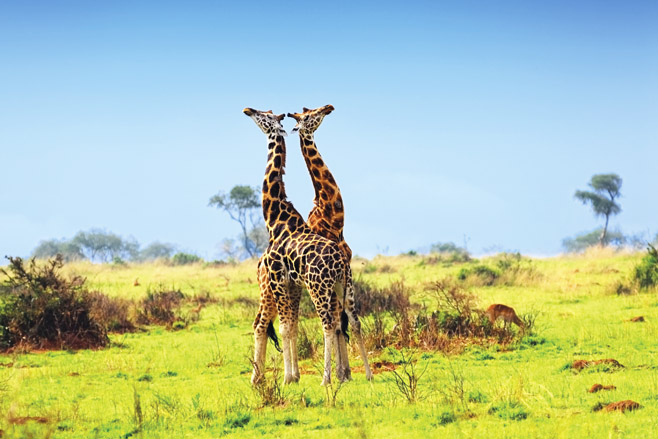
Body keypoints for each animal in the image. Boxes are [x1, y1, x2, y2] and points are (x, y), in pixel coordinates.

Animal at [244, 107, 350, 386]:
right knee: (260, 323)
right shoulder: (288, 283)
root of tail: (258, 263)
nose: (248, 110)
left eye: (265, 116)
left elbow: (290, 326)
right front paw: (293, 376)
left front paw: (292, 377)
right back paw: (257, 378)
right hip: (272, 289)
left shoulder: (286, 282)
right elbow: (290, 326)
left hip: (293, 287)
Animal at [288, 105, 372, 381]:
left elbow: (343, 320)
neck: (333, 218)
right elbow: (336, 321)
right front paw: (341, 372)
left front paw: (346, 372)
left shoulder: (346, 269)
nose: (328, 107)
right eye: (310, 115)